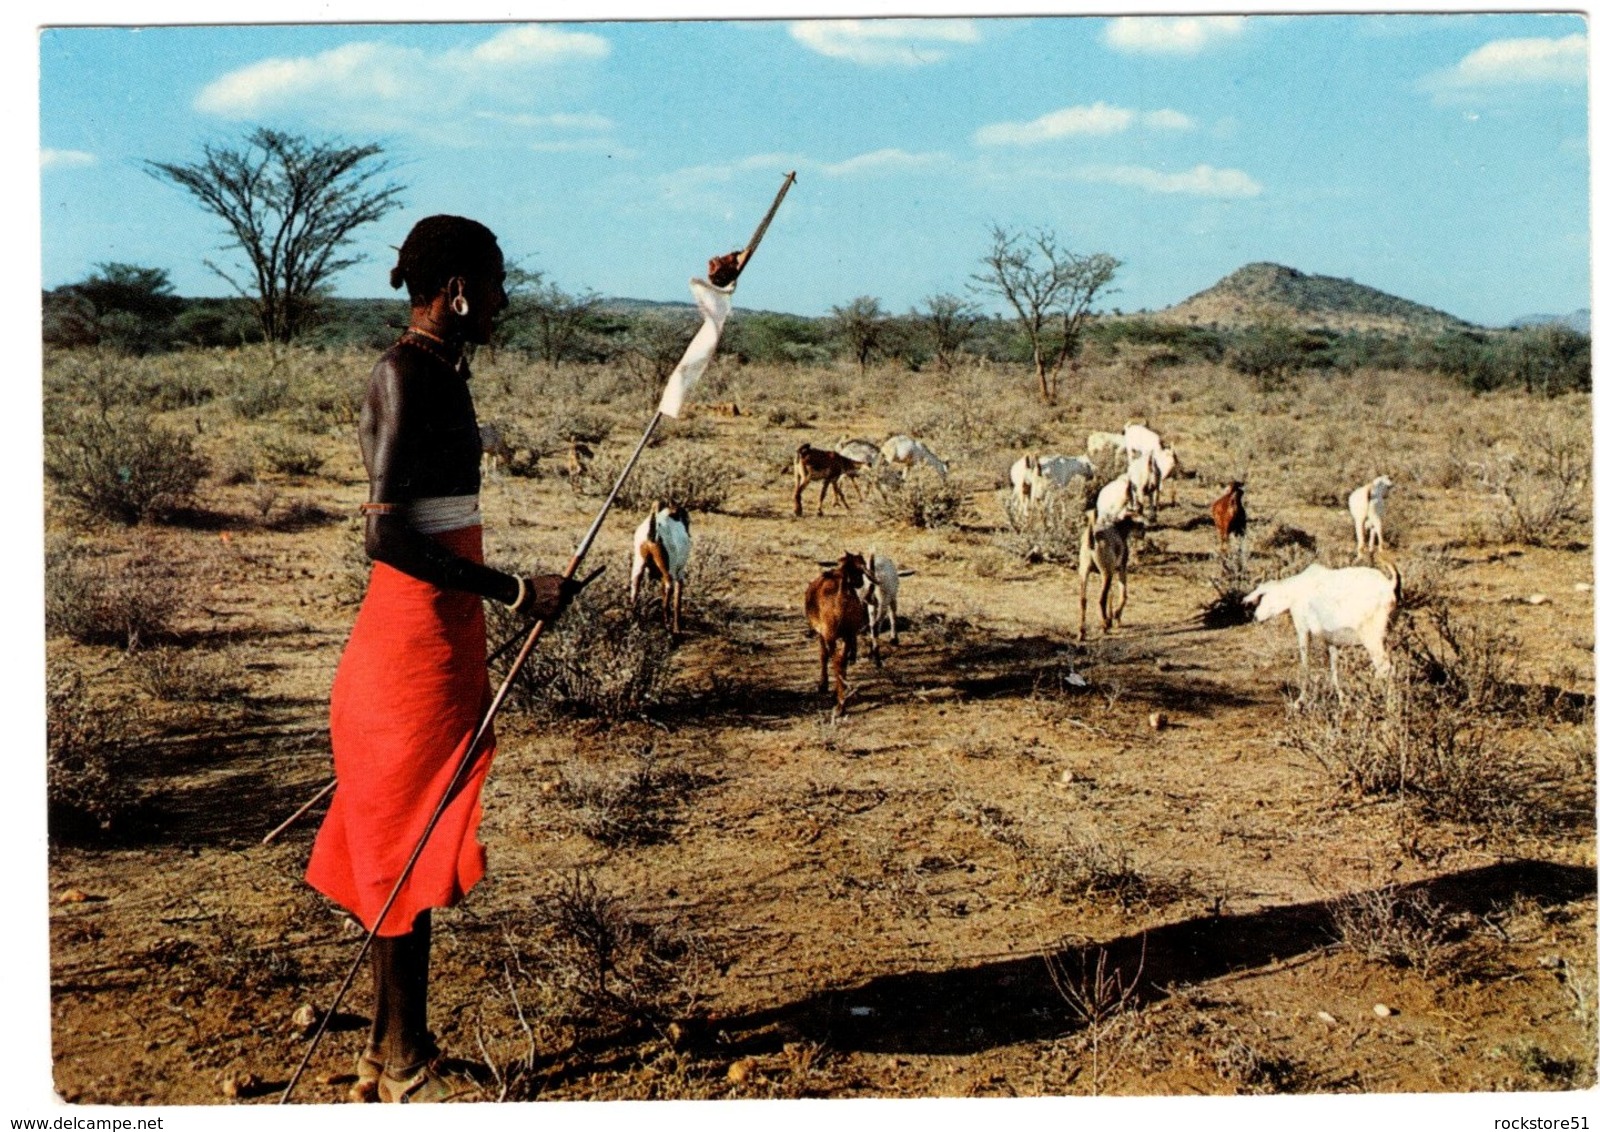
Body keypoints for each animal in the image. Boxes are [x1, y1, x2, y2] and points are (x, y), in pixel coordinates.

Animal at [630, 505, 694, 636]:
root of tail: (652, 532)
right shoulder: (679, 574)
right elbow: (677, 601)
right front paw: (677, 629)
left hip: (639, 565)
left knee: (634, 590)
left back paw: (634, 623)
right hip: (668, 572)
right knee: (669, 589)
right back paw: (667, 625)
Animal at [806, 550, 883, 716]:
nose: (860, 583)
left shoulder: (828, 634)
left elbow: (828, 657)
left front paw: (825, 688)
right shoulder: (844, 635)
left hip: (832, 636)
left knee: (835, 660)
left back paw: (838, 701)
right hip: (841, 635)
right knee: (838, 660)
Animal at [1081, 511, 1145, 642]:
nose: (1143, 533)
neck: (1119, 528)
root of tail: (1093, 537)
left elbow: (1111, 594)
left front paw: (1111, 619)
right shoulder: (1121, 569)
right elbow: (1123, 594)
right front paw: (1116, 616)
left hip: (1085, 574)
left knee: (1083, 600)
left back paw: (1082, 633)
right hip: (1107, 574)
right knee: (1101, 600)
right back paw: (1104, 626)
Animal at [1248, 559, 1401, 697]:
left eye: (1263, 597)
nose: (1256, 617)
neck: (1297, 589)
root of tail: (1389, 586)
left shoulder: (1303, 630)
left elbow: (1305, 665)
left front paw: (1300, 701)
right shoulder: (1332, 641)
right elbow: (1334, 669)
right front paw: (1341, 698)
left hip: (1372, 641)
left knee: (1386, 669)